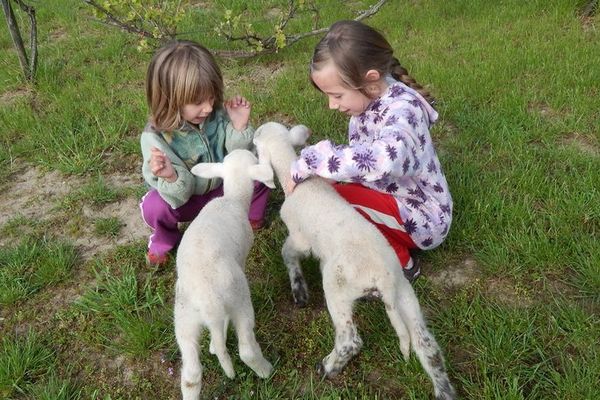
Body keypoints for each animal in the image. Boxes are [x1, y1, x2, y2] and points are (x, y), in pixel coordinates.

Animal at [173, 148, 274, 398]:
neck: (233, 199)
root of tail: (208, 305)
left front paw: (211, 345)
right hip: (239, 300)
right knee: (246, 349)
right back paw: (266, 371)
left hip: (184, 318)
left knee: (191, 374)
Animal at [252, 122, 454, 400]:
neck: (302, 184)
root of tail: (384, 278)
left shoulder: (300, 239)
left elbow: (287, 253)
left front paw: (299, 290)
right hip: (405, 295)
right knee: (427, 346)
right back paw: (444, 390)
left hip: (337, 287)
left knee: (350, 339)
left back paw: (328, 367)